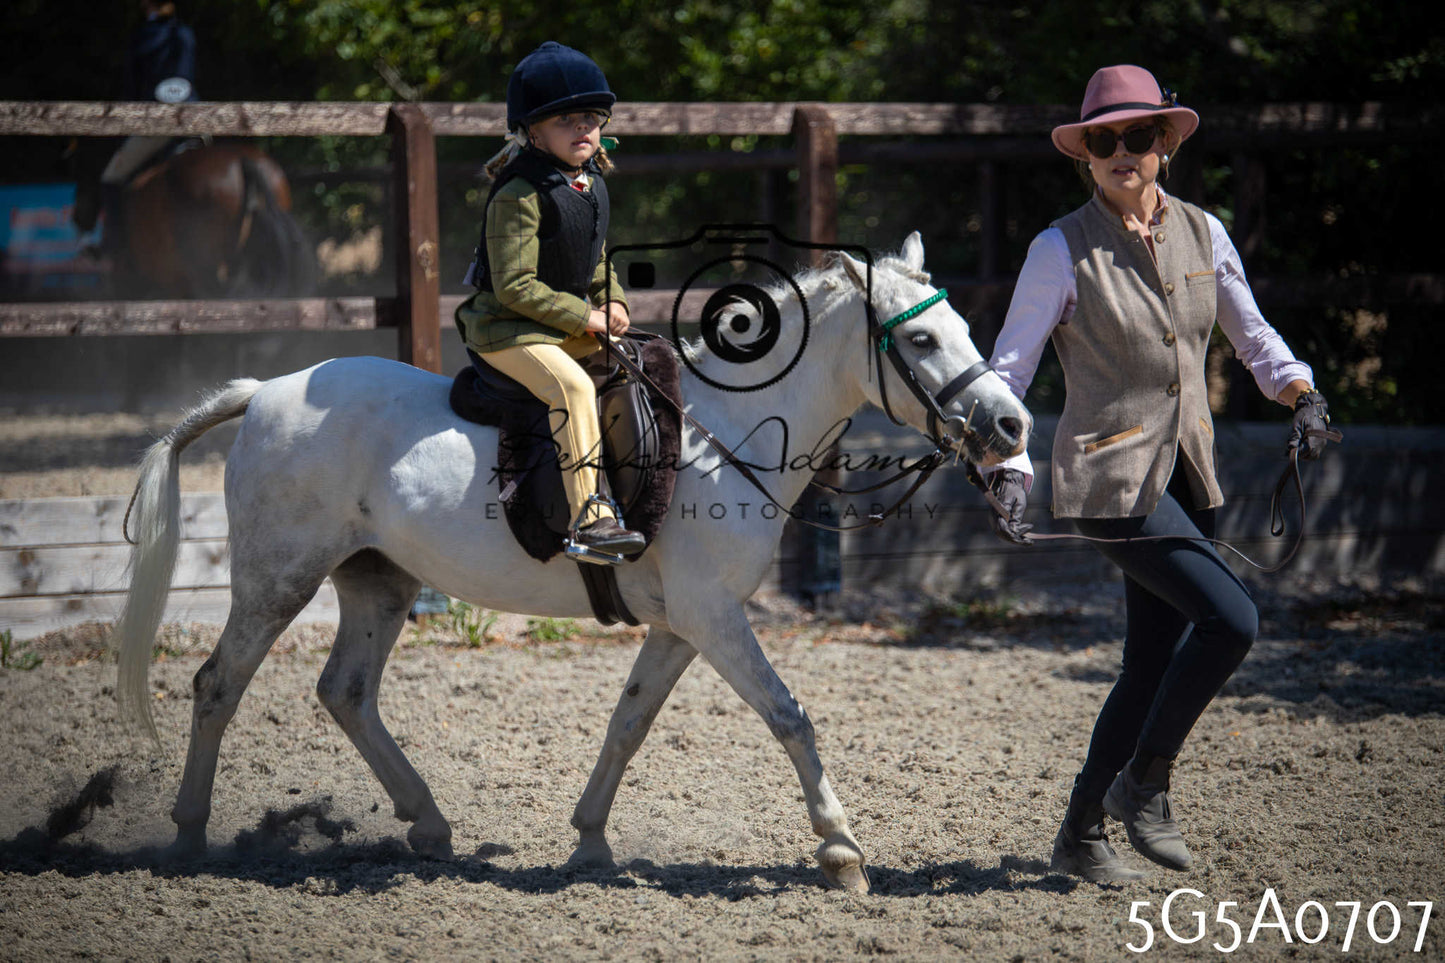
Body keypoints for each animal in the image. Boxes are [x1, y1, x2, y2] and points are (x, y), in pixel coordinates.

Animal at [113, 233, 1031, 893]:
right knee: (218, 685)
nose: (1010, 424)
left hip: (378, 580)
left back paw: (427, 822)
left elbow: (628, 723)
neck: (728, 433)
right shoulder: (713, 616)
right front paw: (839, 849)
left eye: (966, 330)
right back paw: (189, 833)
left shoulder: (682, 625)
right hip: (278, 580)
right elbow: (788, 716)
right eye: (922, 337)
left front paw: (590, 840)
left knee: (345, 691)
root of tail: (264, 392)